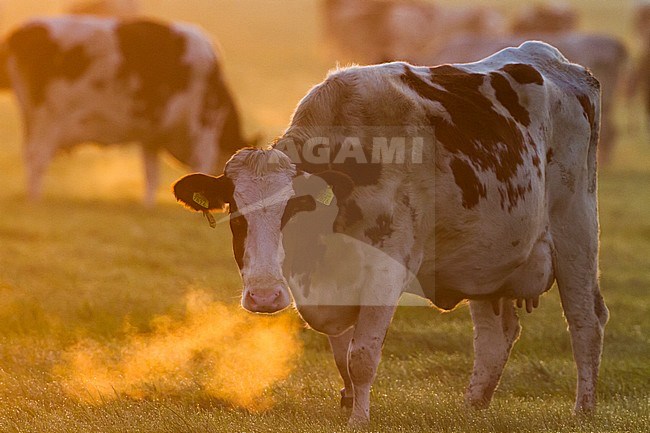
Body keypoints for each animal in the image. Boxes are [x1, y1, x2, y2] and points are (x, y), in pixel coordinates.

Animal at [0, 17, 246, 206]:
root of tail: (21, 33)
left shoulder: (152, 137)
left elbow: (151, 175)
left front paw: (148, 206)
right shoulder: (204, 129)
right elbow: (198, 168)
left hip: (33, 120)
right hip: (48, 118)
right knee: (37, 157)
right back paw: (35, 200)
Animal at [173, 41, 608, 426]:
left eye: (294, 209)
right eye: (235, 215)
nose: (264, 296)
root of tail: (557, 63)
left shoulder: (386, 272)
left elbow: (361, 357)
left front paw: (358, 418)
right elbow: (342, 357)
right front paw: (350, 404)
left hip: (576, 230)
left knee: (586, 320)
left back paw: (584, 410)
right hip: (487, 259)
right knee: (494, 335)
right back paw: (471, 408)